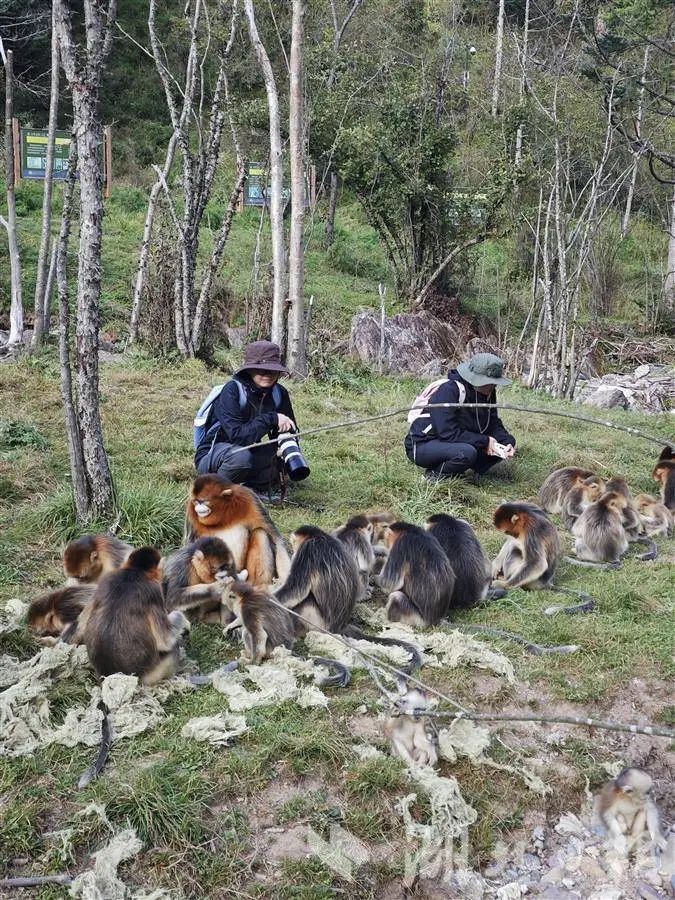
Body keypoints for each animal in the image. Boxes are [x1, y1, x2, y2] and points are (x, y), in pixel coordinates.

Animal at [79, 547, 191, 685]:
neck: (134, 572)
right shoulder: (153, 591)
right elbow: (166, 639)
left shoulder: (108, 577)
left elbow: (82, 621)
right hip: (153, 673)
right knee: (173, 649)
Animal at [274, 525, 422, 672]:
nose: (293, 548)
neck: (319, 536)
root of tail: (340, 626)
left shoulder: (307, 550)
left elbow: (296, 590)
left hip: (318, 623)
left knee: (306, 601)